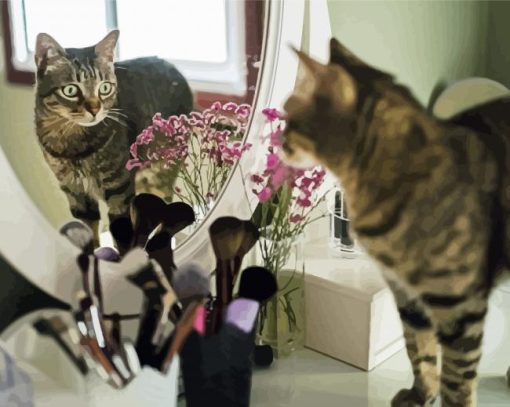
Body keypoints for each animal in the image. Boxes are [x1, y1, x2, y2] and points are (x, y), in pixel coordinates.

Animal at [34, 31, 193, 242]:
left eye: (104, 88)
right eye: (70, 90)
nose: (95, 109)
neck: (73, 145)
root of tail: (174, 69)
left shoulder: (119, 188)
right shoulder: (75, 193)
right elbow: (88, 234)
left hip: (160, 172)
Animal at [282, 36, 510, 406]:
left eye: (290, 115)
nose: (277, 139)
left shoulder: (462, 307)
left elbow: (457, 379)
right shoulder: (406, 295)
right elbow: (419, 351)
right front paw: (421, 394)